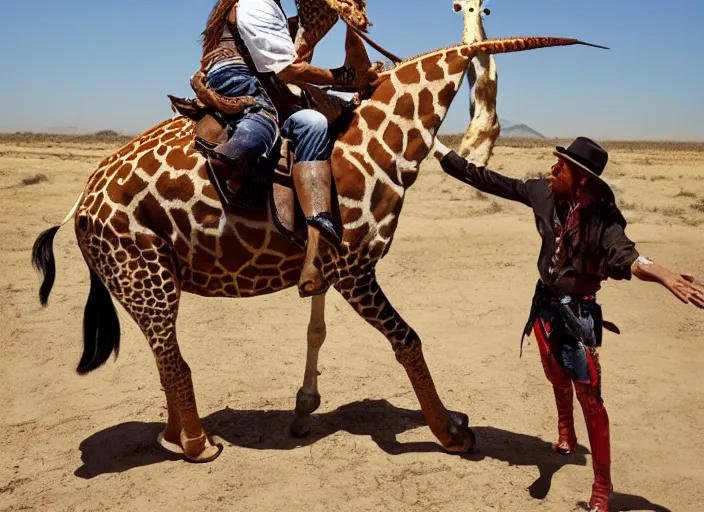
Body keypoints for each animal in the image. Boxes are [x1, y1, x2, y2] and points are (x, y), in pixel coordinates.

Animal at [30, 35, 596, 460]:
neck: (389, 142)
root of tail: (80, 204)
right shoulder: (354, 267)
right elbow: (408, 340)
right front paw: (453, 432)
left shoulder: (325, 265)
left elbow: (316, 331)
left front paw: (304, 411)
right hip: (144, 271)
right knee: (172, 357)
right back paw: (198, 446)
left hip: (143, 277)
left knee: (164, 354)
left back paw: (176, 437)